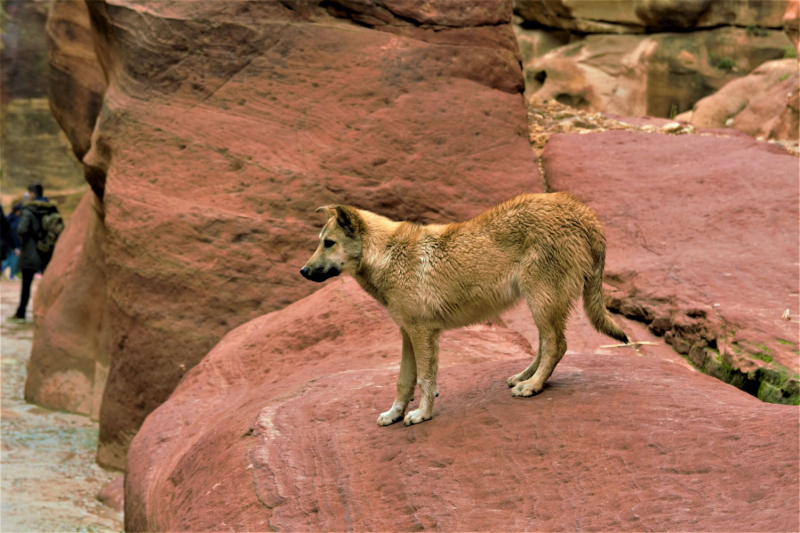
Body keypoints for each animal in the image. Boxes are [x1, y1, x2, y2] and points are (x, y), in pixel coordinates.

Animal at [304, 191, 628, 424]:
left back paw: (532, 386)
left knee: (557, 345)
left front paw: (422, 415)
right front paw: (395, 414)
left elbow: (424, 379)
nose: (303, 271)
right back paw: (523, 378)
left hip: (542, 299)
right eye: (321, 242)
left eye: (329, 243)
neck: (388, 254)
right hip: (541, 302)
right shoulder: (407, 333)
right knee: (546, 344)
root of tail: (580, 210)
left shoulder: (422, 333)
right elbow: (403, 380)